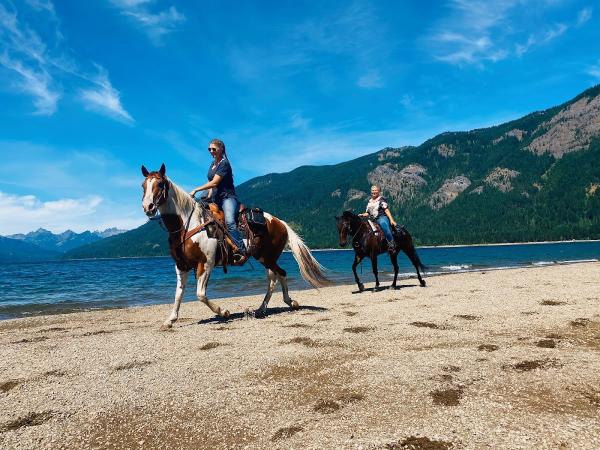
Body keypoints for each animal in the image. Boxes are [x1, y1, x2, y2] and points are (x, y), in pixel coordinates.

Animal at [142, 163, 328, 328]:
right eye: (143, 185)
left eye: (160, 184)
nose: (147, 207)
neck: (188, 224)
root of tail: (280, 222)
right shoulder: (181, 266)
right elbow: (178, 294)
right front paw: (170, 320)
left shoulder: (205, 263)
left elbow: (200, 294)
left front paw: (223, 312)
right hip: (265, 258)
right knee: (273, 278)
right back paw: (264, 309)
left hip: (268, 257)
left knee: (279, 274)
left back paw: (287, 303)